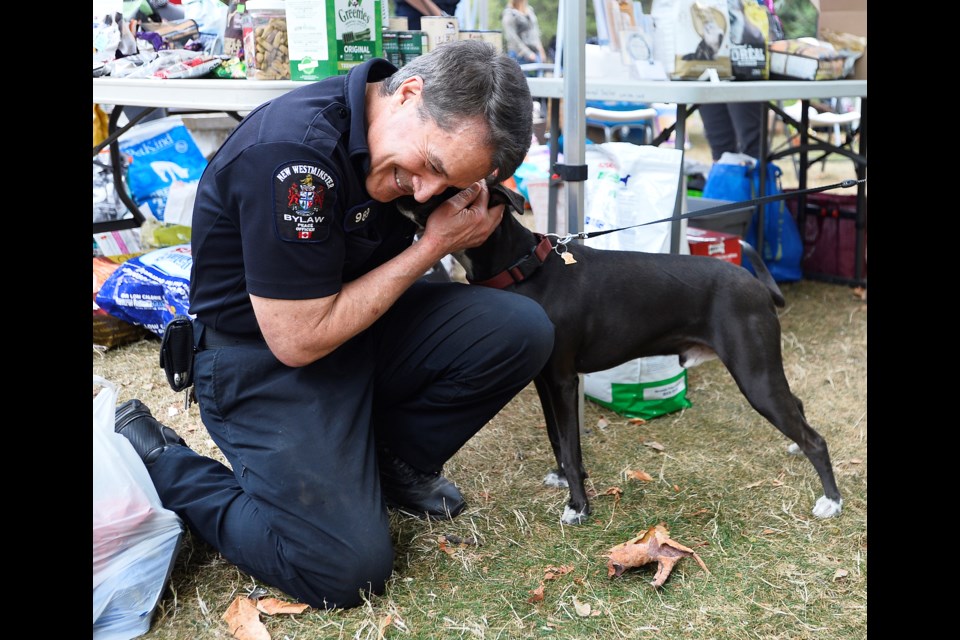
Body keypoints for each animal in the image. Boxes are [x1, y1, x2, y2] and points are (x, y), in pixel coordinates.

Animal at [398, 184, 840, 524]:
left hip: (754, 375)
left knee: (816, 438)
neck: (526, 270)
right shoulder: (544, 381)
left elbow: (570, 443)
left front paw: (578, 506)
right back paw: (796, 450)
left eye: (443, 184)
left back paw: (831, 500)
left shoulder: (563, 381)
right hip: (761, 370)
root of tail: (756, 285)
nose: (399, 192)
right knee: (798, 407)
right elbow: (557, 438)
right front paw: (564, 477)